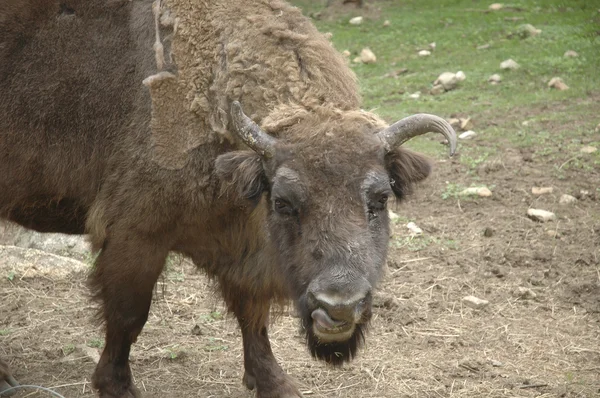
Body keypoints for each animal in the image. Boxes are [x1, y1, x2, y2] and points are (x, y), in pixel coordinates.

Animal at [0, 0, 454, 398]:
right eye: (283, 201)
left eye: (380, 199)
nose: (339, 306)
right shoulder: (135, 235)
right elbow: (128, 315)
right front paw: (117, 386)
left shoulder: (244, 250)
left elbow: (253, 316)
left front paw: (274, 384)